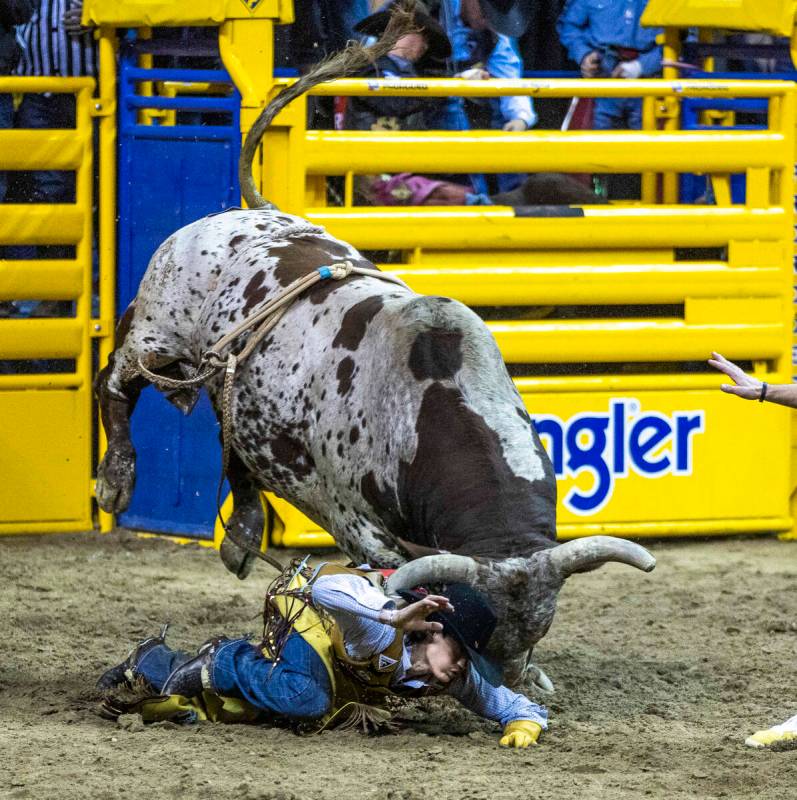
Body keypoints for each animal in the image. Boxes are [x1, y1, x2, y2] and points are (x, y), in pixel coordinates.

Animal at [95, 21, 652, 692]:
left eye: (536, 631)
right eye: (475, 631)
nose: (504, 680)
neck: (431, 408)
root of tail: (244, 215)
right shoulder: (359, 526)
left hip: (233, 391)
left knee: (234, 444)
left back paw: (242, 535)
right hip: (156, 331)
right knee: (115, 381)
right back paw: (115, 480)